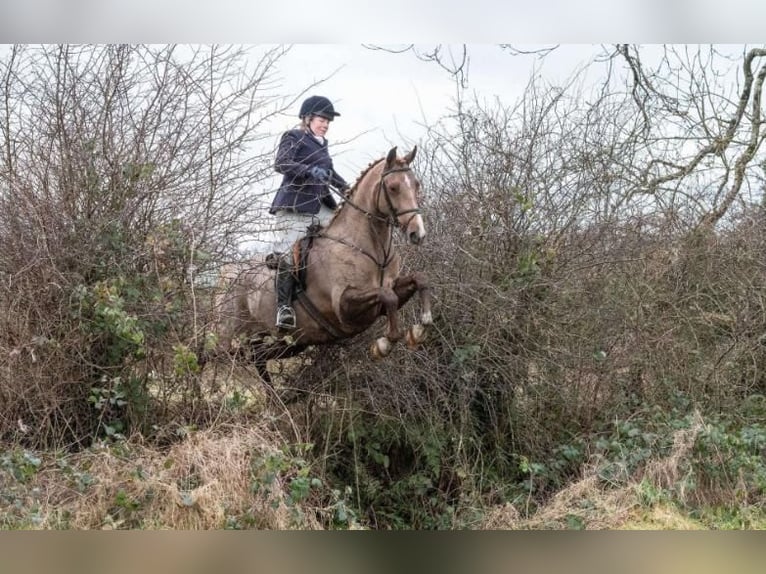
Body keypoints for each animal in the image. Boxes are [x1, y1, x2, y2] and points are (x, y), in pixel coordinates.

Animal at [212, 145, 432, 378]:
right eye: (392, 187)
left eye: (416, 184)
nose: (418, 233)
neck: (370, 249)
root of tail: (227, 271)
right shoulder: (344, 306)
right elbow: (387, 296)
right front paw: (384, 345)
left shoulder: (385, 295)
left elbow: (419, 279)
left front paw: (421, 328)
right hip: (227, 336)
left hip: (285, 341)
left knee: (259, 359)